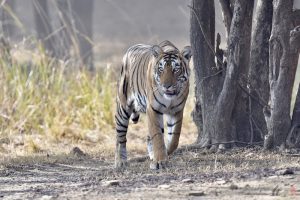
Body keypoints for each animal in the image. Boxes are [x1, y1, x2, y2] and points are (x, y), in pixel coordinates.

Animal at [115, 40, 192, 169]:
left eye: (176, 69)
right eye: (161, 69)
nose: (166, 86)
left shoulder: (177, 110)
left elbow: (174, 138)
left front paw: (165, 153)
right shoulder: (153, 109)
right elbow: (157, 136)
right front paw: (160, 160)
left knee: (147, 136)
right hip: (123, 107)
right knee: (120, 136)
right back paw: (120, 161)